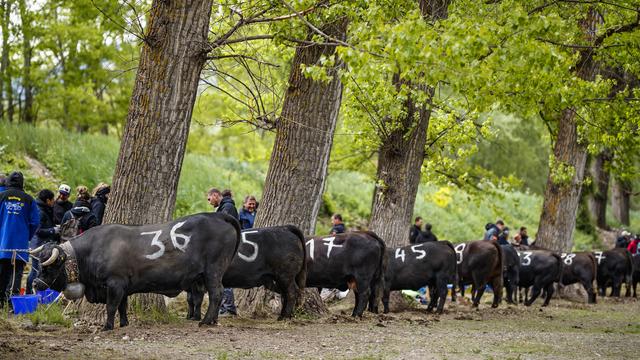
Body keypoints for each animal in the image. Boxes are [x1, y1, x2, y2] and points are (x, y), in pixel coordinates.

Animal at [30, 212, 240, 330]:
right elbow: (122, 306)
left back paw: (205, 321)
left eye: (50, 266)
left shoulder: (114, 283)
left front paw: (107, 326)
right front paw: (124, 324)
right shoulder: (123, 286)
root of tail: (216, 215)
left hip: (213, 270)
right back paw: (211, 320)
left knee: (216, 294)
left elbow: (111, 306)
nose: (35, 283)